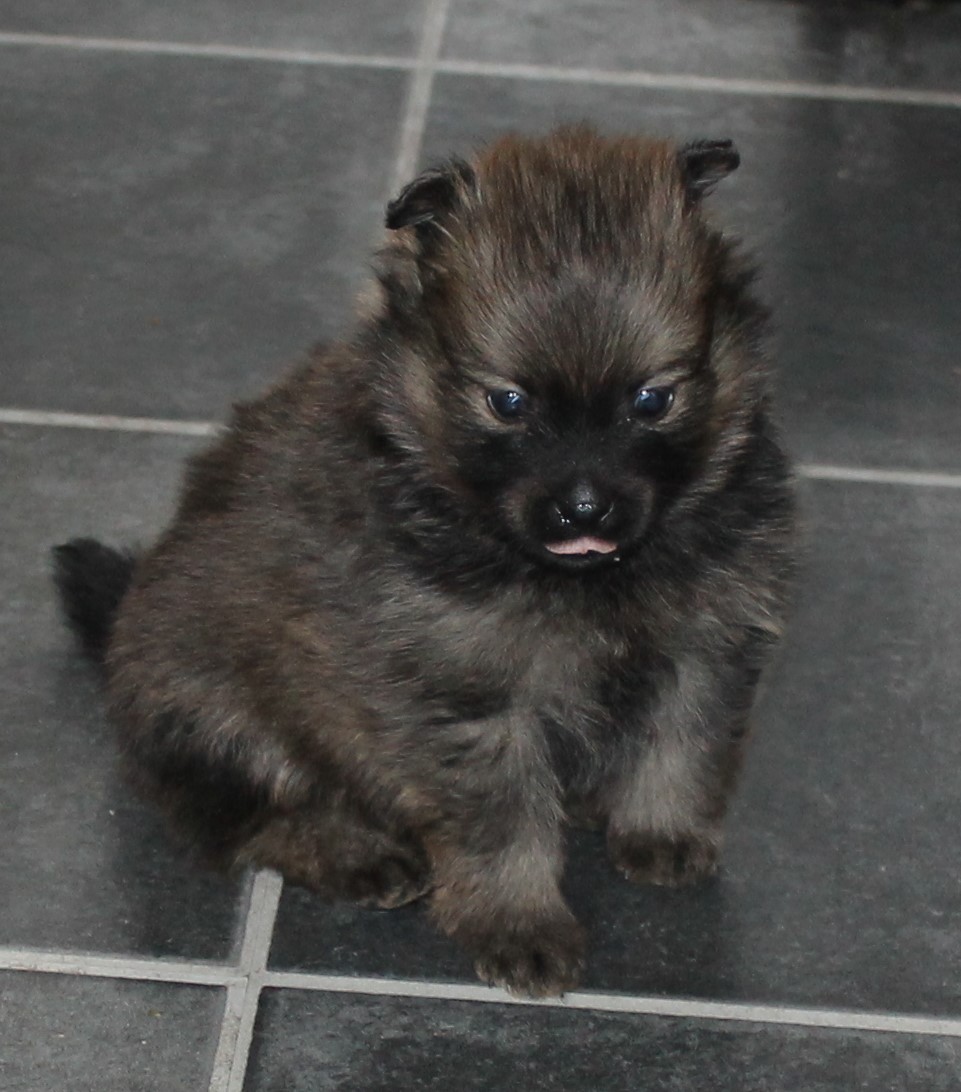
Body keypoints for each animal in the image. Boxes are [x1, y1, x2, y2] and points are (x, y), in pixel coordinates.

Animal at [56, 125, 799, 1000]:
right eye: (507, 403)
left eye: (652, 400)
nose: (584, 510)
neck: (584, 584)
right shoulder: (471, 702)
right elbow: (503, 826)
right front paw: (520, 926)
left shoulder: (706, 644)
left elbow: (683, 745)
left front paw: (662, 831)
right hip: (209, 713)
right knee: (249, 817)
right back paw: (356, 852)